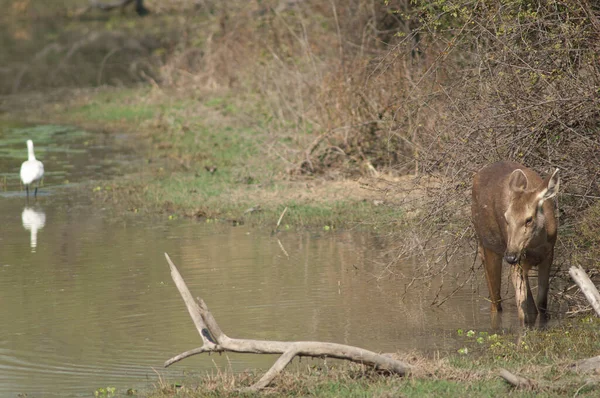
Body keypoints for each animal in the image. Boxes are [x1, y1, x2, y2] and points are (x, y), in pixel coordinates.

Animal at [474, 161, 556, 320]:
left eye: (529, 219)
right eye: (506, 218)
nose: (511, 256)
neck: (536, 246)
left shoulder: (549, 253)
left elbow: (541, 304)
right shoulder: (518, 263)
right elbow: (524, 312)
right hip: (489, 247)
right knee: (495, 301)